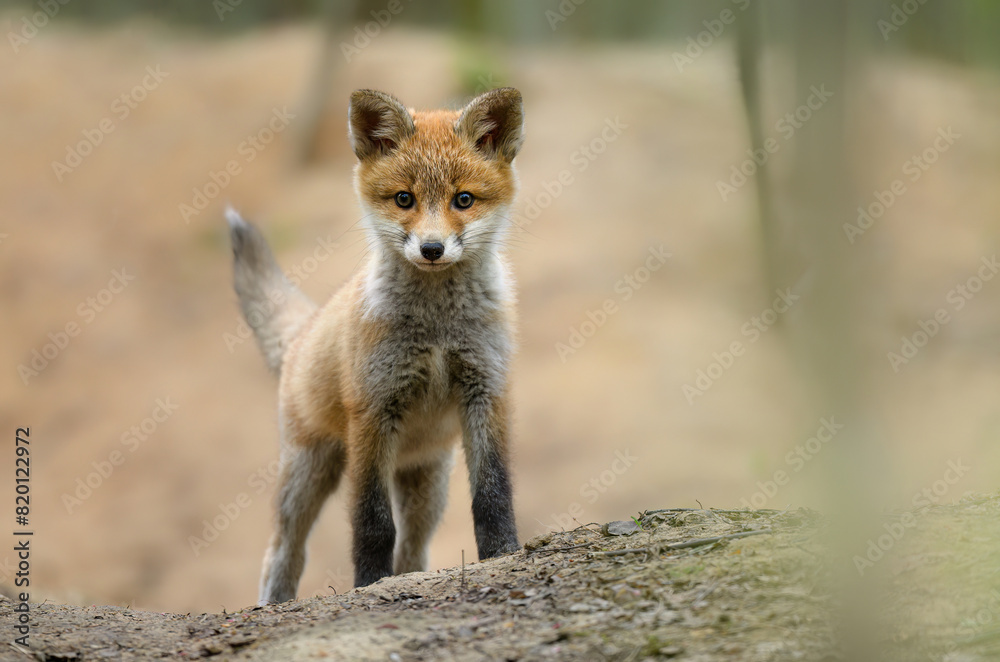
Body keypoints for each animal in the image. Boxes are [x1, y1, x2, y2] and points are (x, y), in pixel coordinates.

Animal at [227, 87, 525, 605]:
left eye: (463, 200)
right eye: (404, 199)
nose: (431, 249)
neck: (437, 329)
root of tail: (305, 331)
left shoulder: (487, 391)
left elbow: (492, 493)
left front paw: (501, 554)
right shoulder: (373, 408)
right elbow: (371, 522)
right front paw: (369, 581)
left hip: (429, 484)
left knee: (413, 549)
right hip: (308, 472)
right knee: (284, 551)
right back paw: (272, 602)